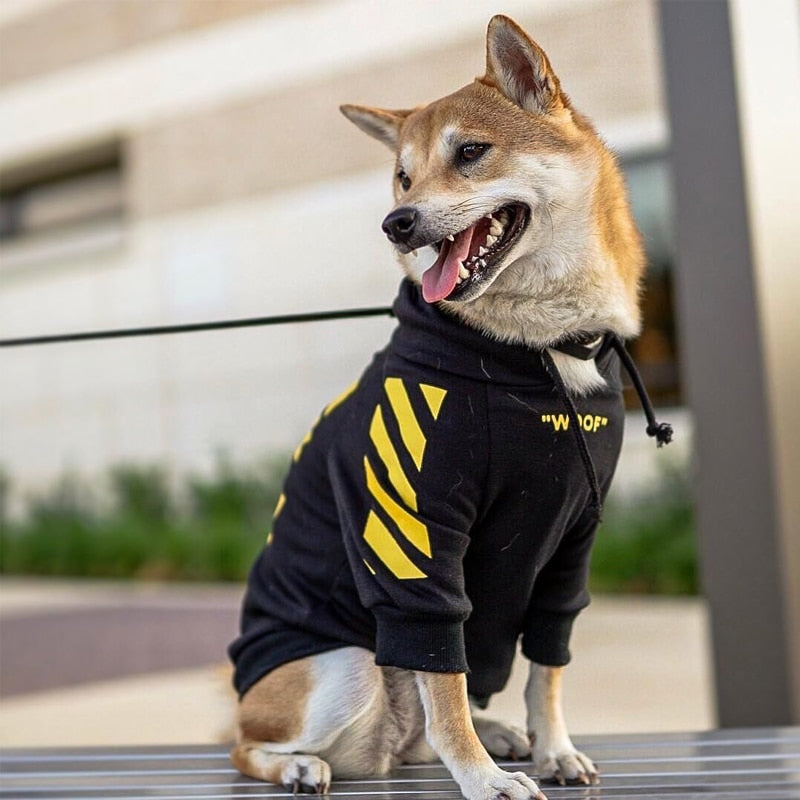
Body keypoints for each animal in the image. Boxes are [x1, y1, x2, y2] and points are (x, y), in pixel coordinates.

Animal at [228, 14, 648, 800]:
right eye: (403, 175)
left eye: (472, 152)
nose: (397, 221)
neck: (537, 350)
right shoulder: (421, 542)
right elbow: (443, 677)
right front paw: (482, 780)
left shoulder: (571, 547)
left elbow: (547, 667)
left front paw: (553, 749)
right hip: (346, 668)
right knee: (248, 744)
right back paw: (300, 763)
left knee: (417, 732)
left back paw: (492, 735)